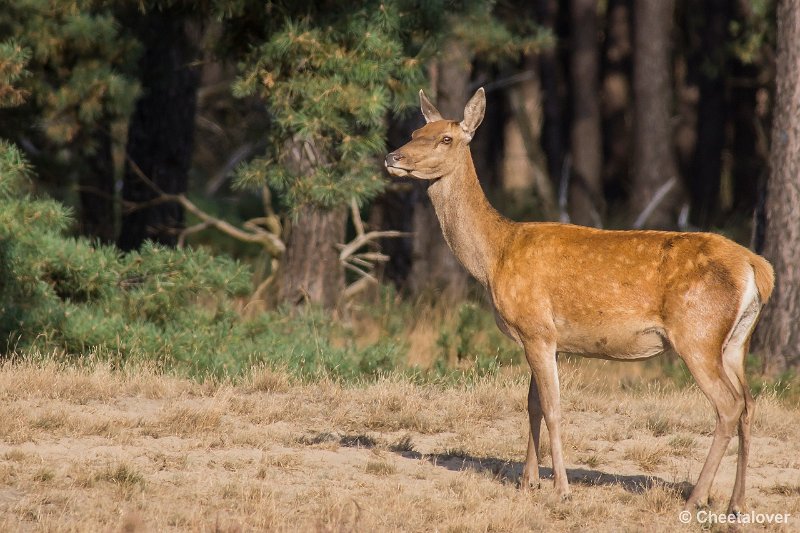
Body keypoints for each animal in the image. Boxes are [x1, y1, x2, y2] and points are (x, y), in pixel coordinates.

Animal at [386, 87, 776, 512]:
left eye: (445, 138)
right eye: (415, 131)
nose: (393, 157)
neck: (494, 256)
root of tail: (757, 267)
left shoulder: (536, 327)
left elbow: (553, 409)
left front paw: (561, 489)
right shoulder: (543, 336)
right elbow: (532, 405)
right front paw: (527, 482)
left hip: (698, 333)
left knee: (728, 405)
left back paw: (695, 499)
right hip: (735, 341)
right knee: (749, 402)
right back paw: (737, 502)